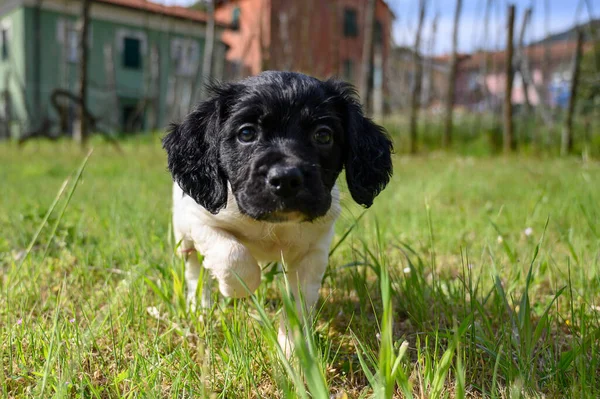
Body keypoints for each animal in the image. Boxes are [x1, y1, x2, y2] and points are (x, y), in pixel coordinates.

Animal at [163, 70, 394, 352]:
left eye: (323, 136)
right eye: (246, 133)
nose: (285, 179)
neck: (271, 224)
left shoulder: (313, 250)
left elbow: (299, 301)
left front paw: (293, 348)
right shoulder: (201, 220)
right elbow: (233, 255)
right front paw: (236, 289)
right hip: (183, 234)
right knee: (194, 270)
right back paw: (200, 307)